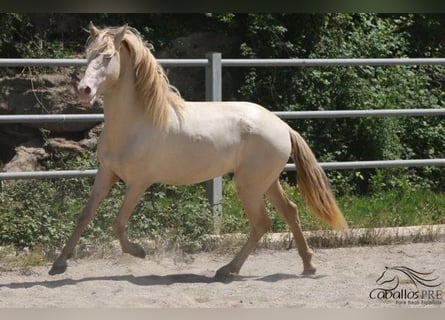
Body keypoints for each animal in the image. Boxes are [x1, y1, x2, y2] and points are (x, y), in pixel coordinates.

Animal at [48, 22, 346, 278]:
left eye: (108, 56)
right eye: (87, 55)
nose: (84, 90)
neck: (136, 122)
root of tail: (282, 125)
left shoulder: (138, 182)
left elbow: (118, 223)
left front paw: (139, 251)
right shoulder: (106, 173)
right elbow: (85, 215)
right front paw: (59, 263)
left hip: (248, 185)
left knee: (262, 223)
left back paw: (228, 269)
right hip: (266, 182)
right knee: (290, 212)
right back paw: (307, 265)